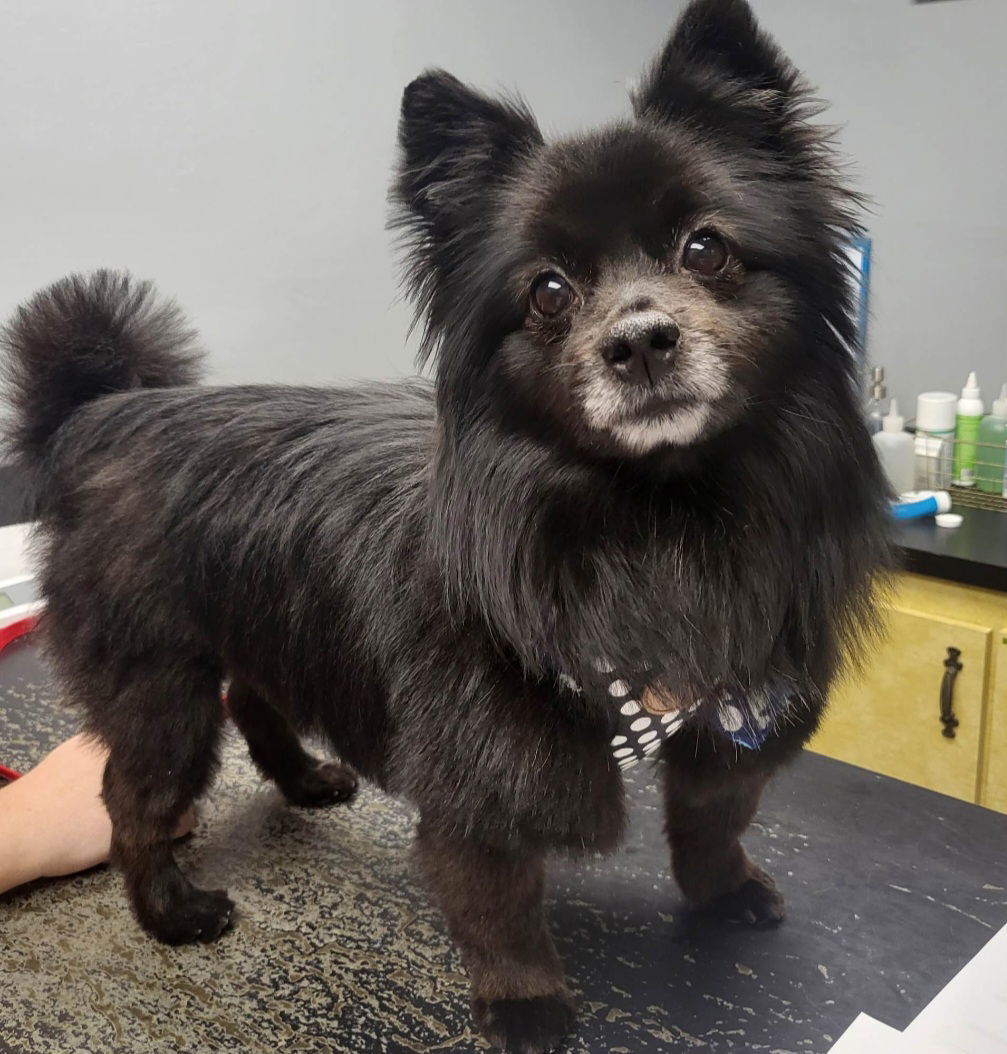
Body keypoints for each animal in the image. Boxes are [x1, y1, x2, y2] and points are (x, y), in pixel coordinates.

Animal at [5, 4, 889, 1049]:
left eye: (705, 250)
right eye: (548, 291)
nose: (638, 340)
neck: (650, 523)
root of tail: (102, 413)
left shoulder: (729, 713)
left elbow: (713, 821)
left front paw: (723, 893)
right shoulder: (483, 783)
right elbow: (498, 908)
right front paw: (528, 1005)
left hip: (266, 617)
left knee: (259, 697)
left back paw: (303, 778)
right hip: (162, 689)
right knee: (131, 798)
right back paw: (169, 909)